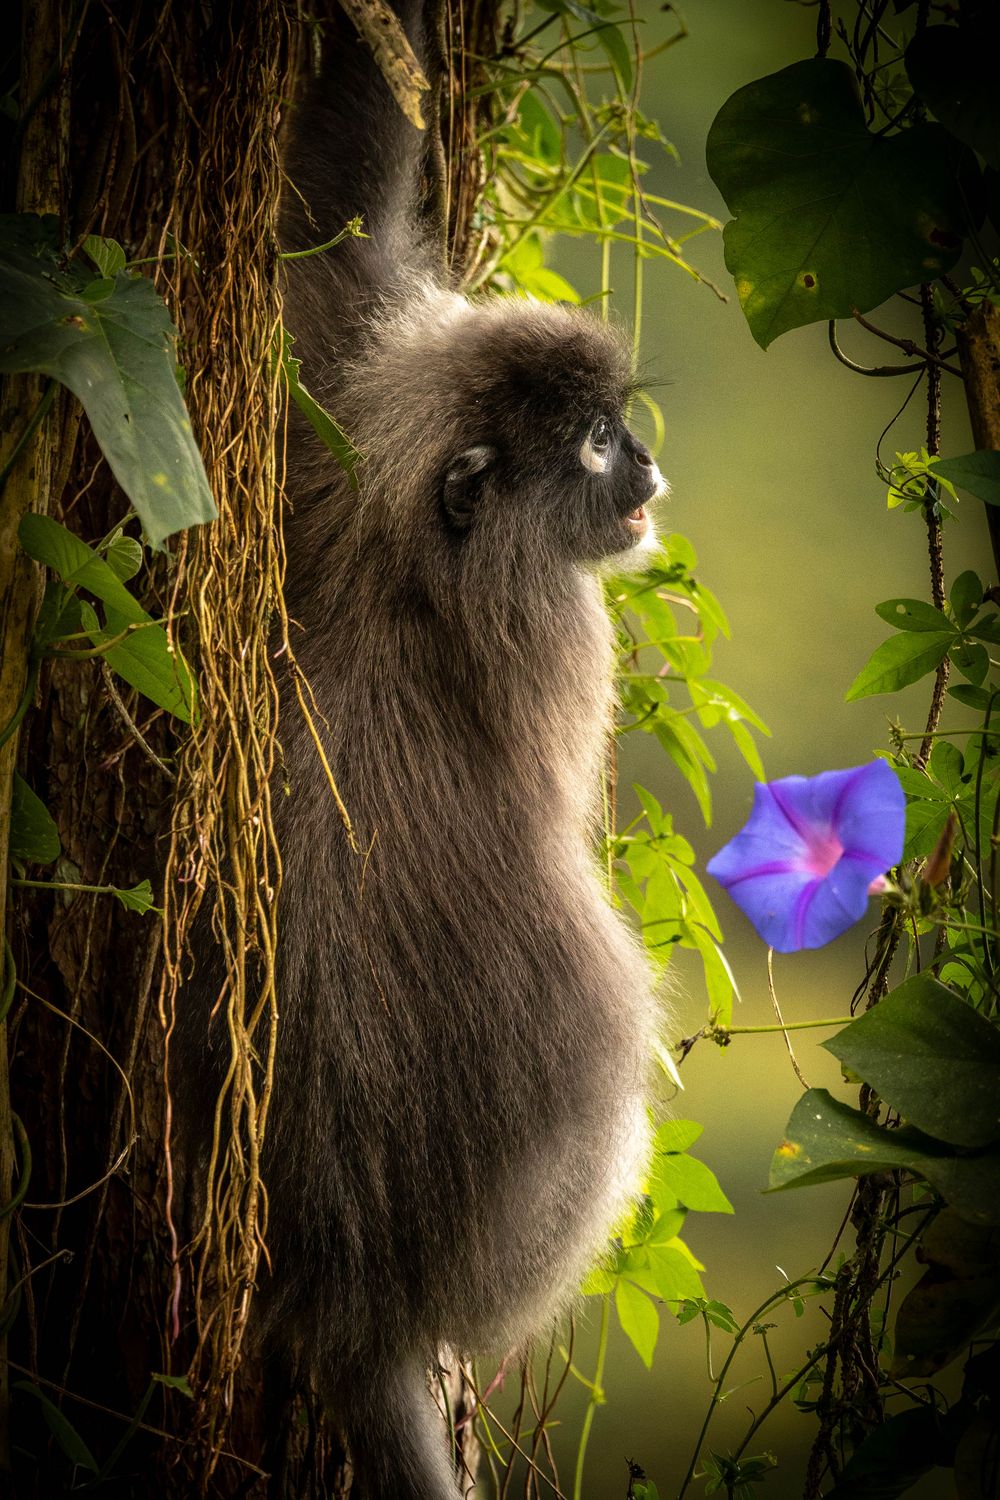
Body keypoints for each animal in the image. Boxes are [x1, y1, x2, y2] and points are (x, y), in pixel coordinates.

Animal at [181, 3, 669, 1496]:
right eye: (594, 445)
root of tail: (359, 1312)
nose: (647, 470)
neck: (407, 556)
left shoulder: (343, 384)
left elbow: (340, 226)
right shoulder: (562, 623)